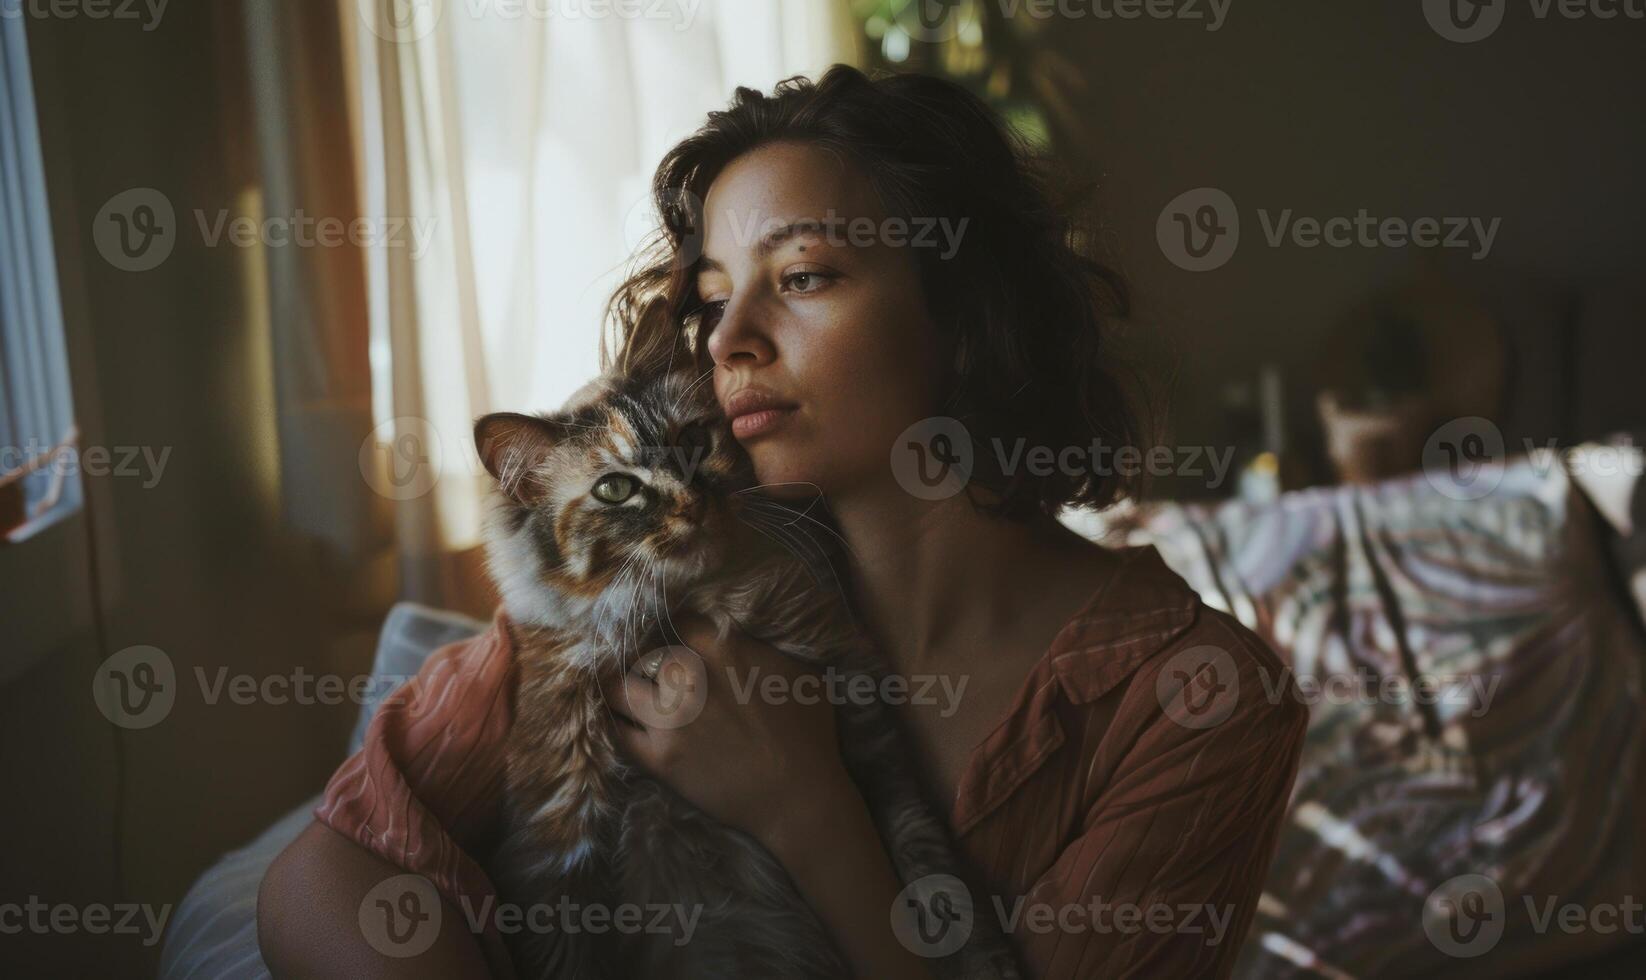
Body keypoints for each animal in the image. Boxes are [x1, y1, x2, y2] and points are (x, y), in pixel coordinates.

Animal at [470, 368, 1020, 980]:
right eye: (614, 489)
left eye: (693, 441)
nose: (692, 502)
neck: (703, 601)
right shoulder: (562, 838)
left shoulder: (861, 718)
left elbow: (923, 857)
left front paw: (982, 956)